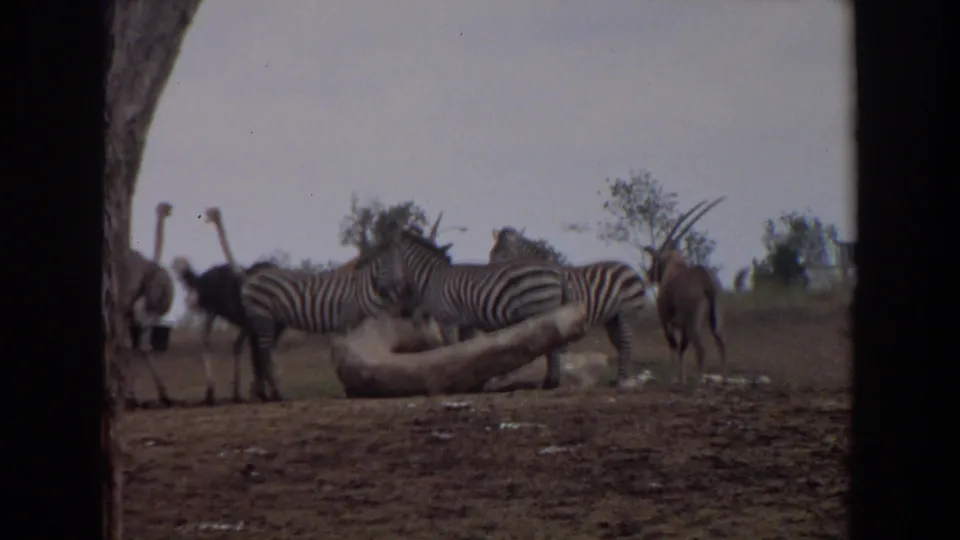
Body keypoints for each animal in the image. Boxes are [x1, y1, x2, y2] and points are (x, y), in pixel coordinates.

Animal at [239, 237, 410, 402]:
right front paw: (350, 388)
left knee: (258, 353)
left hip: (273, 321)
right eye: (385, 266)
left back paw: (261, 393)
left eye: (400, 265)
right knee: (264, 353)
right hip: (264, 315)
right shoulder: (350, 321)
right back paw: (275, 393)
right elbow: (350, 354)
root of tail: (254, 276)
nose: (400, 288)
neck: (364, 289)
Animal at [380, 228, 572, 390]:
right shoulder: (467, 324)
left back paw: (550, 382)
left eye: (383, 265)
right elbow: (468, 352)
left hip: (539, 309)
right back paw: (552, 381)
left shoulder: (448, 320)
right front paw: (470, 382)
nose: (382, 291)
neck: (433, 278)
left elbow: (451, 348)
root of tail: (557, 271)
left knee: (552, 347)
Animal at [488, 226, 648, 387]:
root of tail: (630, 268)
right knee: (620, 342)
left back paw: (623, 379)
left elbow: (549, 348)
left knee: (627, 341)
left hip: (626, 312)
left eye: (502, 255)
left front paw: (552, 380)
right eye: (492, 253)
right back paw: (620, 378)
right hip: (612, 318)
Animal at [643, 197, 728, 385]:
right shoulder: (681, 328)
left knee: (701, 349)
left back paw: (699, 381)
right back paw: (723, 380)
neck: (673, 268)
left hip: (692, 324)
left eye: (655, 259)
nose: (649, 274)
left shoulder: (667, 322)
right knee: (721, 344)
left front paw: (672, 379)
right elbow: (682, 349)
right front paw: (681, 378)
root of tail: (706, 279)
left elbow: (674, 348)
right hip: (715, 322)